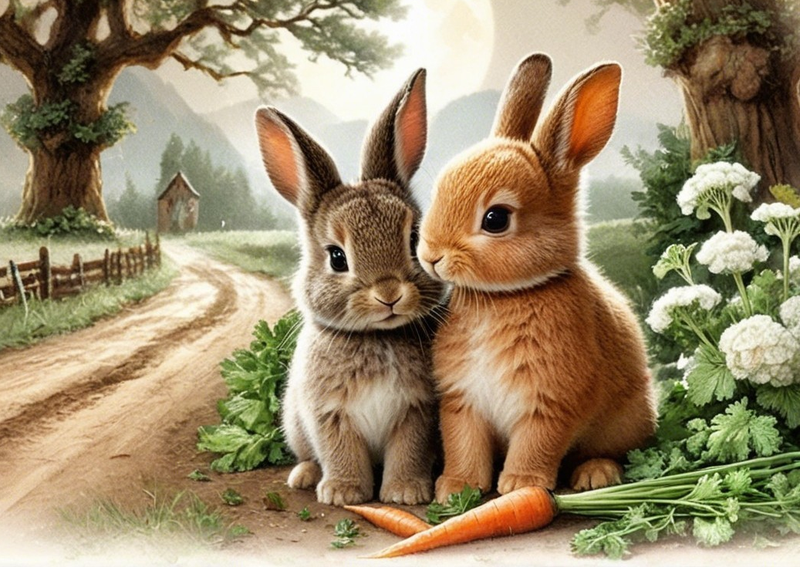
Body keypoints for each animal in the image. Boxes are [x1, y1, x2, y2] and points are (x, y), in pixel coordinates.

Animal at [254, 69, 445, 506]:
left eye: (414, 239)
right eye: (337, 257)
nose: (389, 294)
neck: (377, 337)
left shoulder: (417, 411)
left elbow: (408, 452)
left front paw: (405, 493)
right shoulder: (328, 413)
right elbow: (340, 451)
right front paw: (343, 493)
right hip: (294, 423)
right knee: (308, 454)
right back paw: (304, 477)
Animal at [416, 53, 658, 503]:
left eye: (496, 219)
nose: (431, 256)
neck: (505, 296)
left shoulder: (550, 402)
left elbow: (537, 442)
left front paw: (520, 485)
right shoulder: (462, 400)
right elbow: (463, 443)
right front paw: (457, 489)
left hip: (624, 422)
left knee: (616, 452)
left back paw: (595, 474)